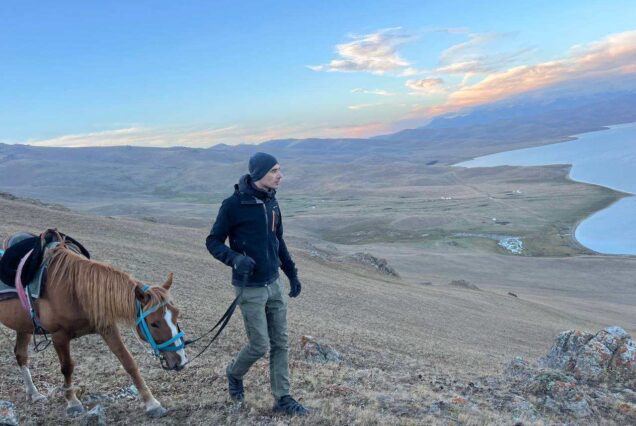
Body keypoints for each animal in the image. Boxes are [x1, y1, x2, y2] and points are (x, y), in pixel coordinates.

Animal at [0, 236, 188, 416]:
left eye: (177, 315)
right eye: (154, 323)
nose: (180, 360)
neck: (74, 290)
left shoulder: (107, 328)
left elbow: (128, 362)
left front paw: (151, 403)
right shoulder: (59, 335)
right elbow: (67, 367)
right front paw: (72, 402)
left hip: (23, 327)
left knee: (21, 355)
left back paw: (34, 394)